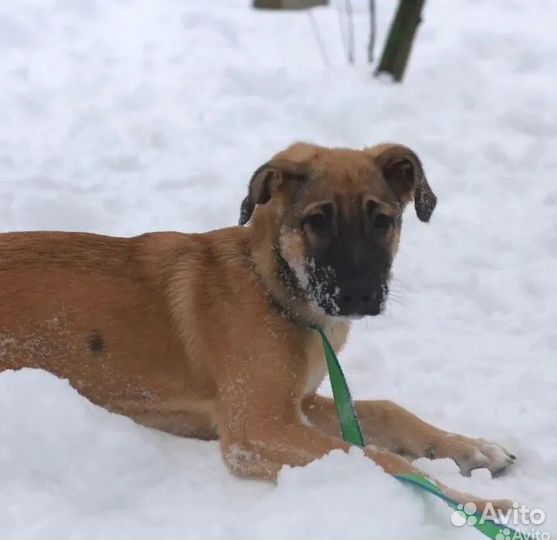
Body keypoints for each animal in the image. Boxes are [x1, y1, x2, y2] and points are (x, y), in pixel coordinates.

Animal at [0, 142, 512, 510]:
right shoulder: (258, 429)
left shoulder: (298, 404)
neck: (274, 288)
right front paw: (479, 505)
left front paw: (472, 449)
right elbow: (379, 458)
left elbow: (388, 411)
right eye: (317, 220)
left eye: (382, 221)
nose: (358, 296)